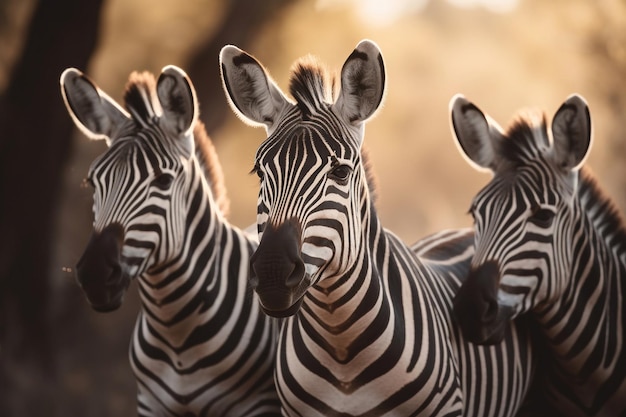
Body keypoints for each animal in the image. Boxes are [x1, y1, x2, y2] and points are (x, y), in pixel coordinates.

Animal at [61, 66, 280, 416]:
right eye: (92, 182)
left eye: (163, 181)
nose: (94, 274)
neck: (175, 330)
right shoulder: (151, 404)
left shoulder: (258, 404)